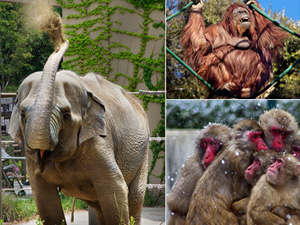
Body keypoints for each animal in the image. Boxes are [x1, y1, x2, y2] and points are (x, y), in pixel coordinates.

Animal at [8, 40, 150, 225]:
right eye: (23, 114)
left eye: (66, 115)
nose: (61, 41)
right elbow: (44, 196)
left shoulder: (99, 142)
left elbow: (115, 188)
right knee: (99, 204)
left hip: (144, 149)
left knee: (134, 196)